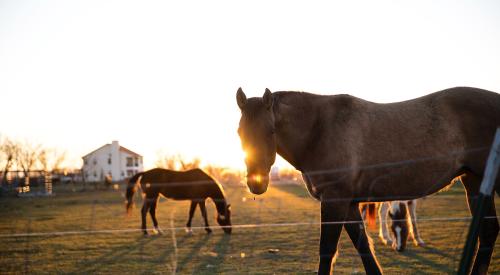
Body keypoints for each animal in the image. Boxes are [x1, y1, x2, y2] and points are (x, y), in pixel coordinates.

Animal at [235, 87, 500, 274]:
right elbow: (364, 247)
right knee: (488, 232)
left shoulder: (335, 200)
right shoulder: (350, 203)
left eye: (271, 131)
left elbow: (327, 251)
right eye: (240, 132)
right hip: (474, 181)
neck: (319, 129)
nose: (256, 183)